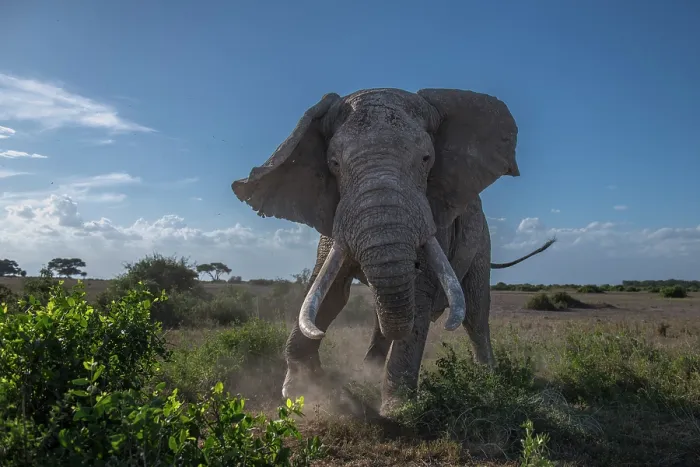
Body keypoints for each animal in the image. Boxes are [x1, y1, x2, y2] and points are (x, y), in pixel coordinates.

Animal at [232, 88, 550, 416]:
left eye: (426, 159)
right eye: (334, 164)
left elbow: (419, 294)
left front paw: (399, 411)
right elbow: (330, 291)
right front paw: (301, 392)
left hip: (481, 241)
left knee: (474, 310)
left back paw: (488, 381)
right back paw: (367, 371)